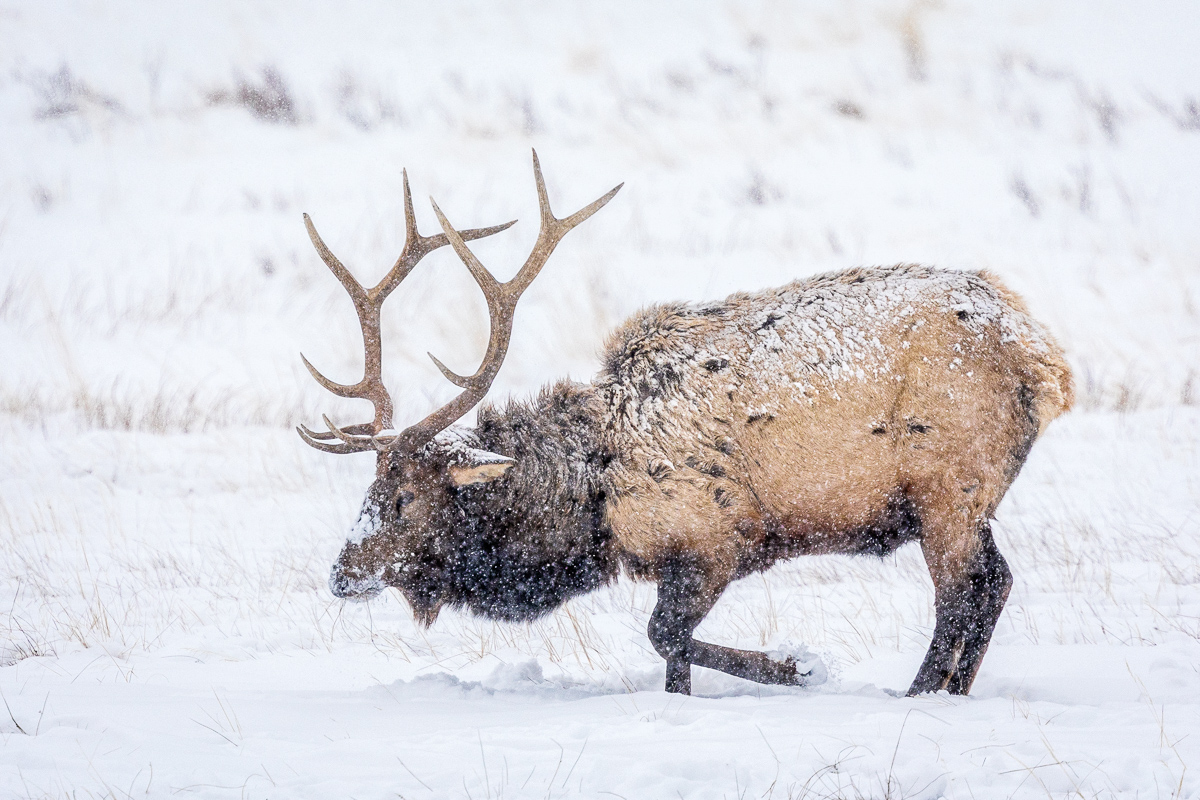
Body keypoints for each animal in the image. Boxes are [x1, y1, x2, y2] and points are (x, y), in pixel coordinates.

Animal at [300, 151, 1070, 695]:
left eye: (403, 498)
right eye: (369, 491)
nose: (339, 574)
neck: (596, 499)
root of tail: (1043, 359)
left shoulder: (712, 539)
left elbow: (664, 637)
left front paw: (797, 665)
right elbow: (673, 662)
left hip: (948, 492)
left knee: (960, 599)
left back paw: (917, 695)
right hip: (967, 501)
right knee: (995, 585)